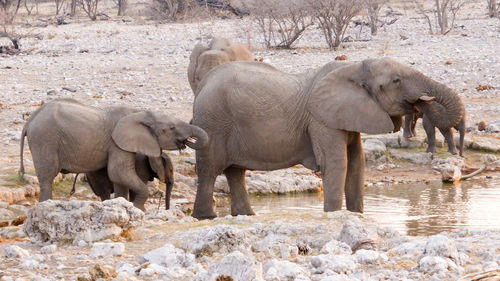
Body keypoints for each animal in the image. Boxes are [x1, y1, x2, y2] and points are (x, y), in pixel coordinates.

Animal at [19, 97, 207, 209]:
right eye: (171, 128)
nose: (186, 141)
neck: (140, 113)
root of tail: (30, 120)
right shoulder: (118, 143)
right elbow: (118, 172)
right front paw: (136, 209)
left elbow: (118, 178)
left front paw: (123, 206)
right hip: (44, 139)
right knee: (47, 178)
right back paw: (45, 206)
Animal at [190, 57, 464, 219]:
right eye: (396, 80)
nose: (420, 102)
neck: (353, 68)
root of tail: (203, 84)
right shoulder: (321, 120)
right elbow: (337, 163)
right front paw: (334, 216)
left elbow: (357, 164)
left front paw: (356, 217)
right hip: (212, 121)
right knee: (210, 169)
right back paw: (206, 218)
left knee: (235, 172)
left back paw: (246, 216)